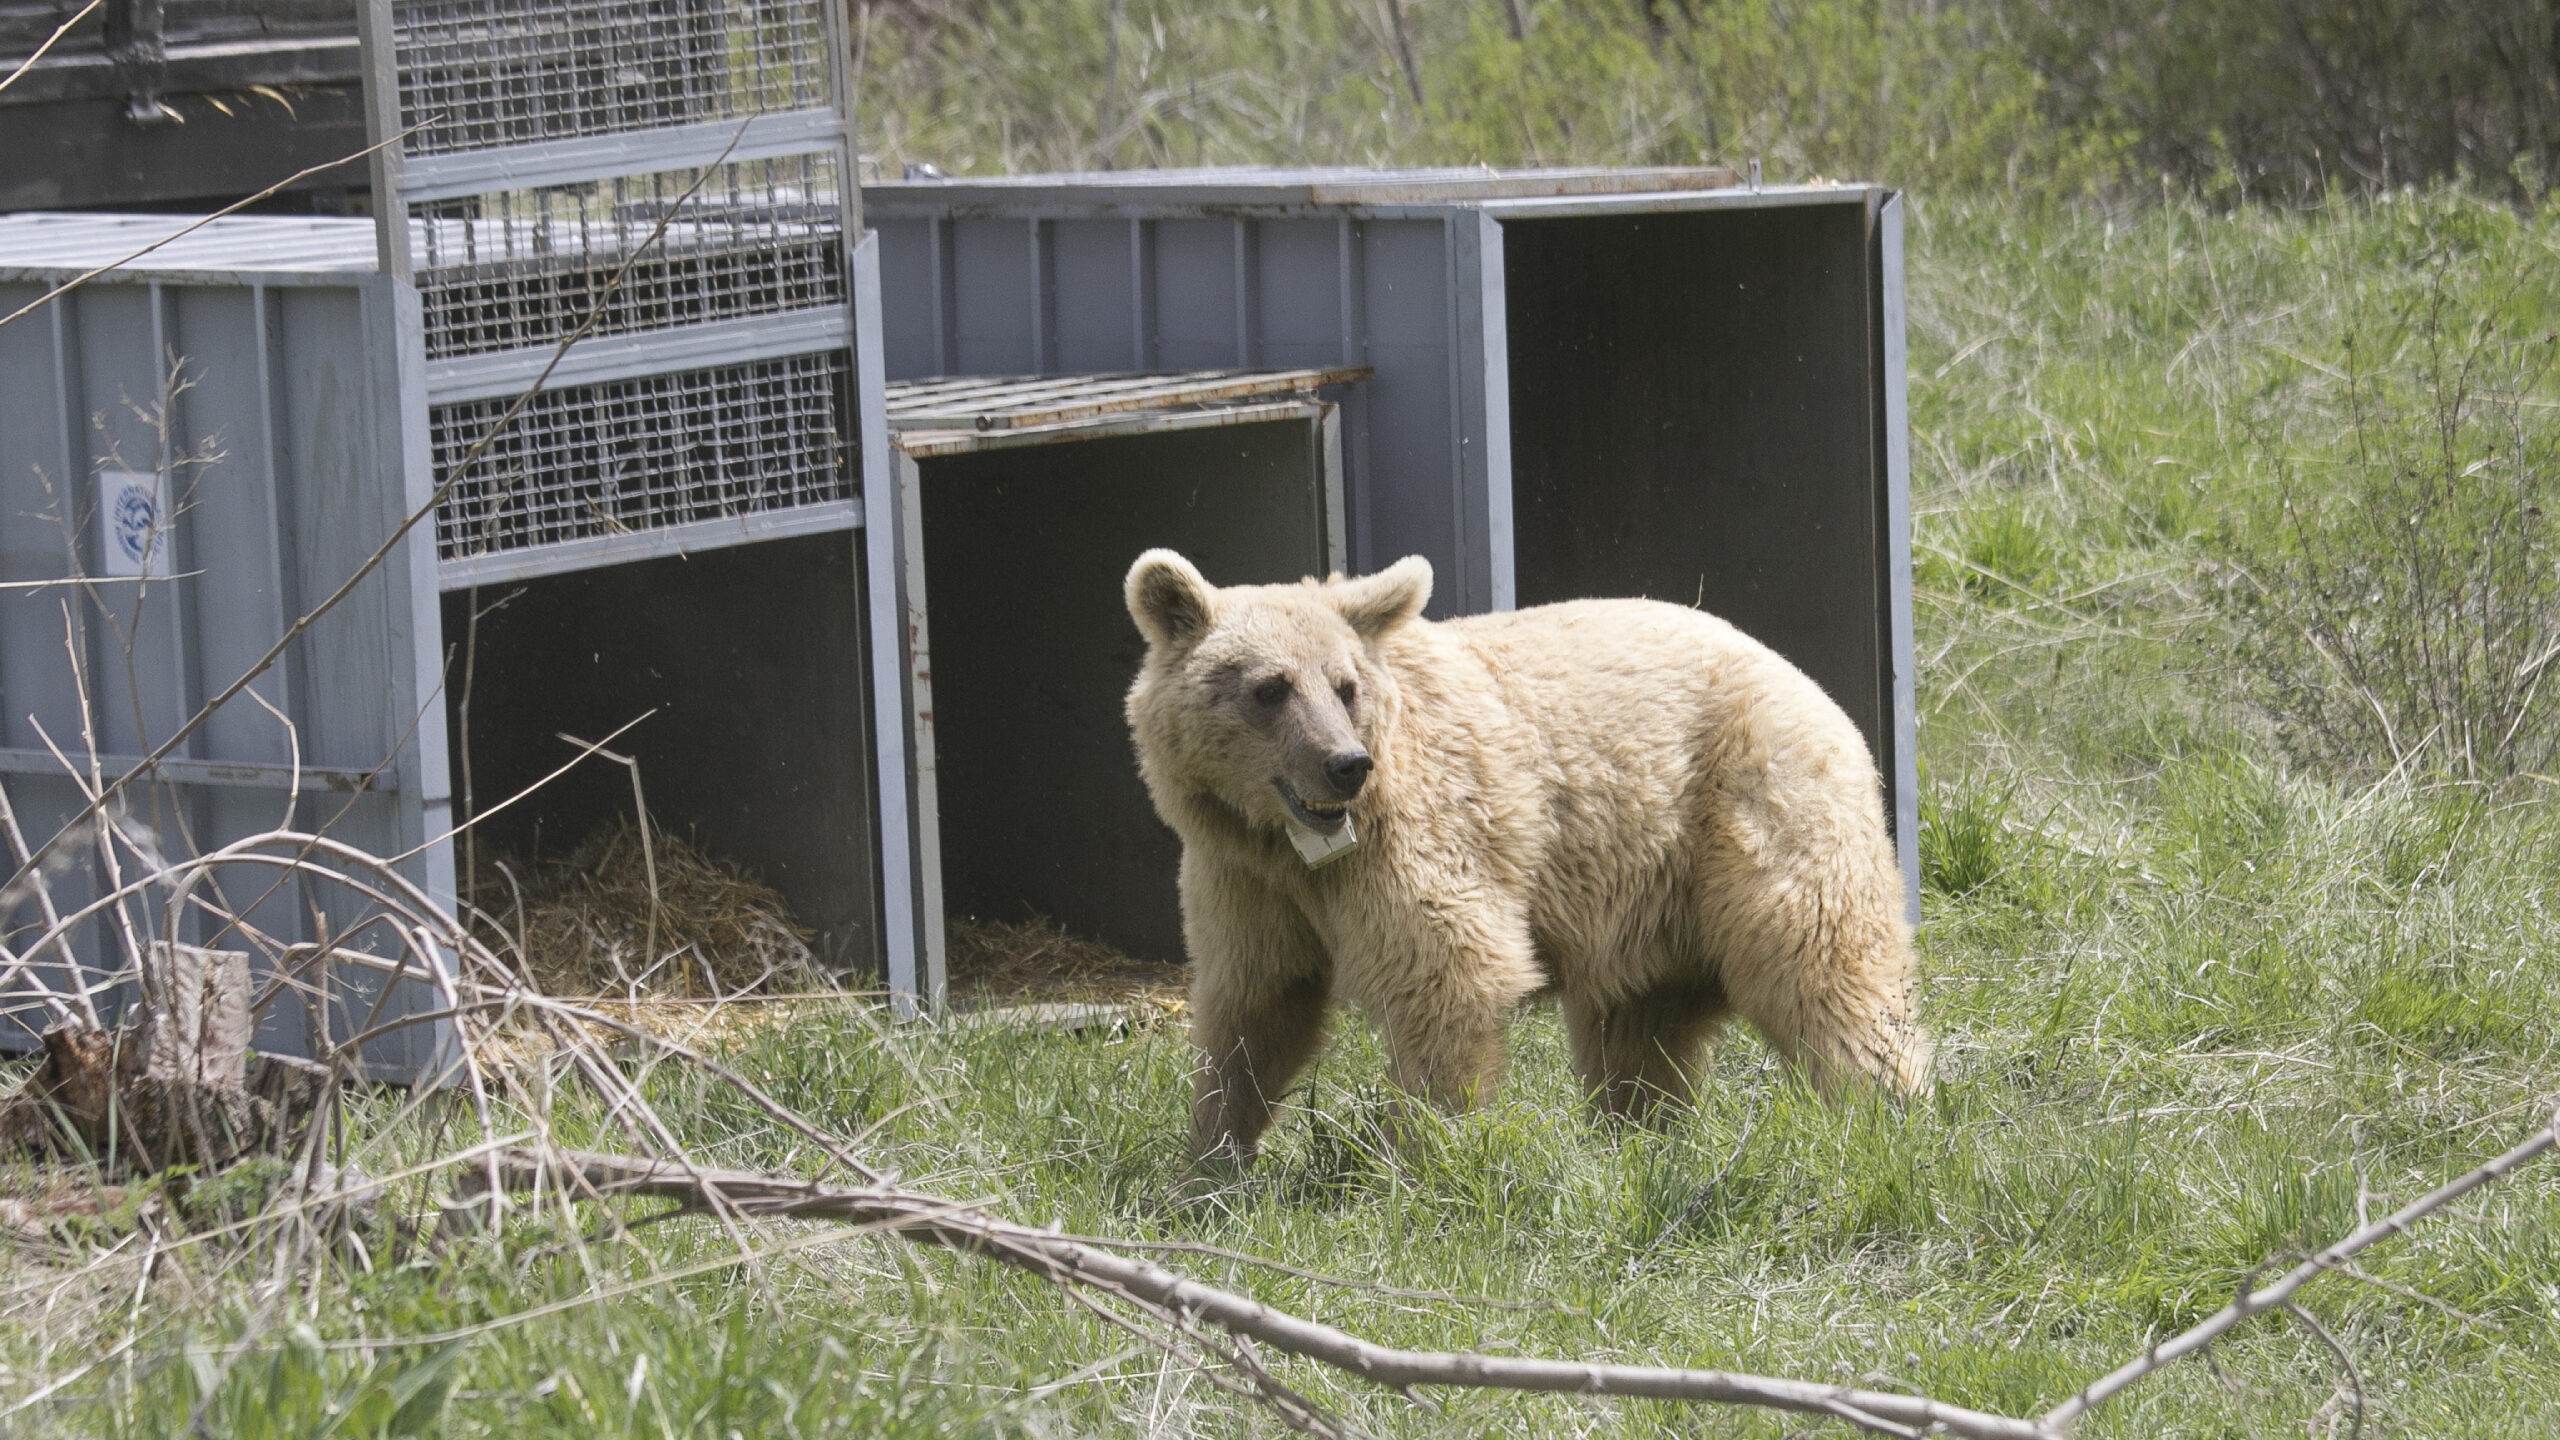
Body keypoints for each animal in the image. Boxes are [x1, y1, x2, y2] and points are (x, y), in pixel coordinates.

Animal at [1122, 548, 1929, 1166]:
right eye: (1270, 687)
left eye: (1345, 686)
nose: (1345, 765)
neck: (1291, 845)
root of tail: (1802, 677)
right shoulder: (1246, 883)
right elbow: (1255, 1011)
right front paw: (1207, 1162)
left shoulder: (1414, 845)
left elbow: (1447, 975)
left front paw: (1426, 1152)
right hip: (1644, 887)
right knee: (1637, 1030)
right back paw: (1638, 1136)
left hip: (1751, 807)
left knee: (1818, 961)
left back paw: (1886, 1111)